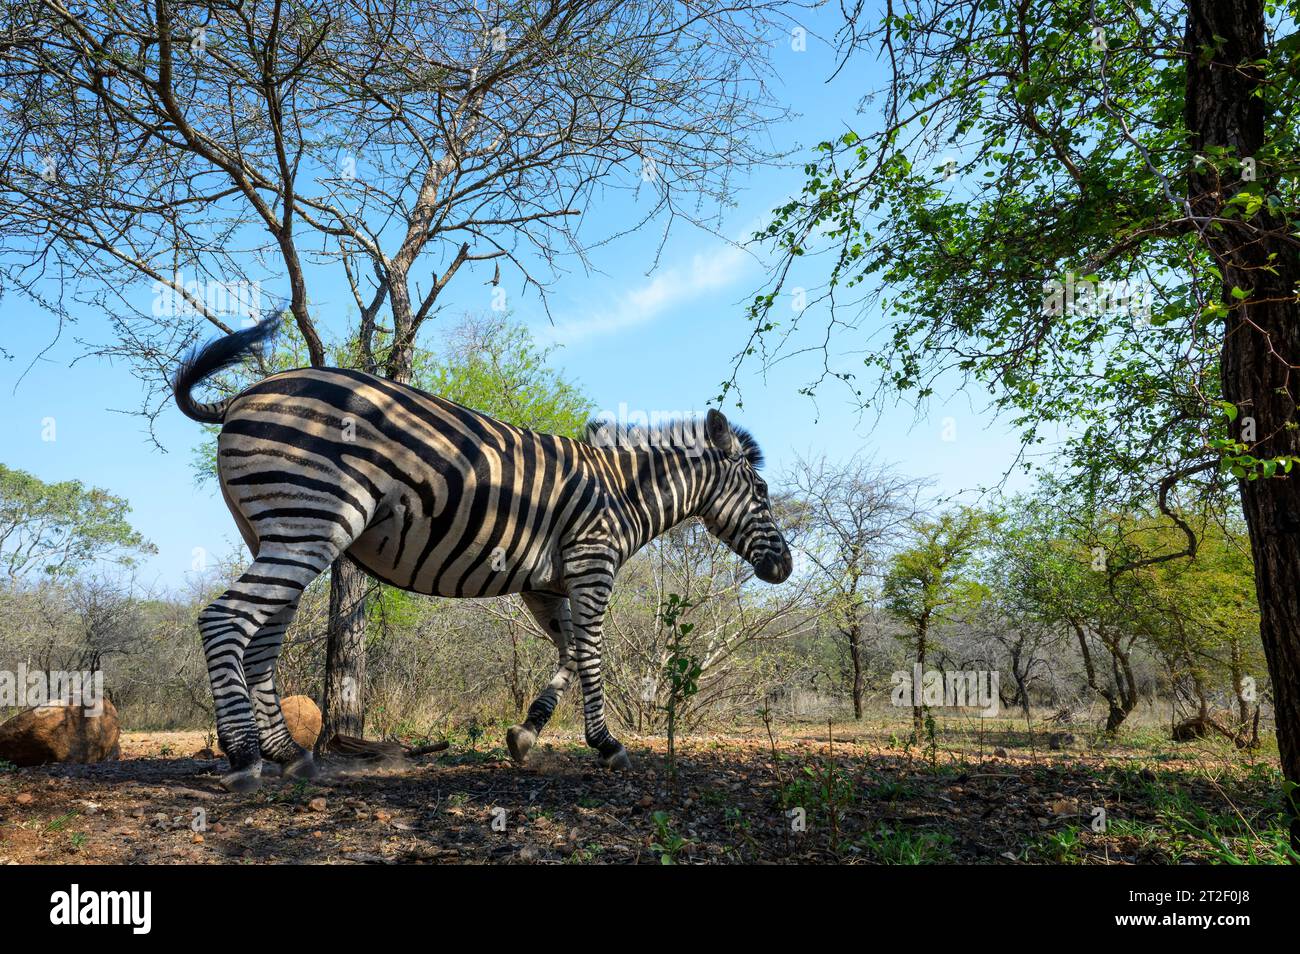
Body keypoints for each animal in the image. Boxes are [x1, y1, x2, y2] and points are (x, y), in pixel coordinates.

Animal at [172, 317, 790, 795]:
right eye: (761, 491)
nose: (784, 567)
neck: (623, 490)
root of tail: (241, 396)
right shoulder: (592, 563)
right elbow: (592, 655)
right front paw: (607, 745)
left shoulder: (546, 585)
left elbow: (569, 653)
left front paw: (525, 735)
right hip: (310, 524)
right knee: (224, 619)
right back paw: (245, 758)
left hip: (274, 533)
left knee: (261, 640)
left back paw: (286, 753)